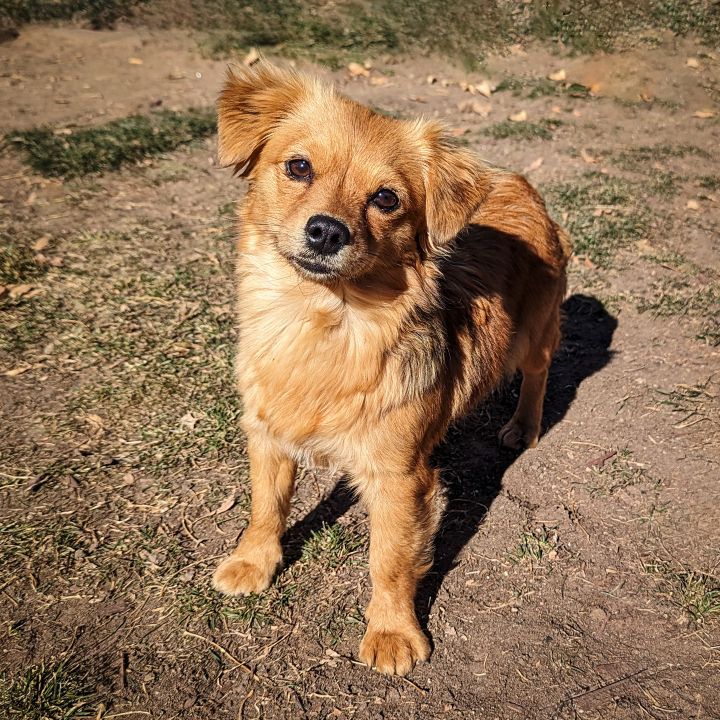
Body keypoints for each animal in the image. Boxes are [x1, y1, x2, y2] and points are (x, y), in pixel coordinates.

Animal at [211, 62, 572, 676]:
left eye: (385, 198)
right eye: (298, 166)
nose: (327, 231)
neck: (321, 322)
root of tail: (519, 181)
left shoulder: (399, 477)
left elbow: (391, 559)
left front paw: (392, 632)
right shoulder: (267, 435)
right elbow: (266, 506)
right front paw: (253, 562)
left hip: (534, 334)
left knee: (538, 372)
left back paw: (523, 426)